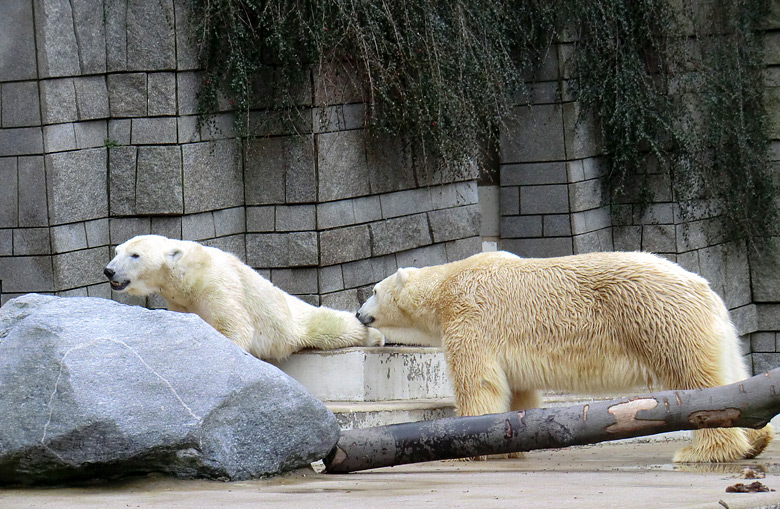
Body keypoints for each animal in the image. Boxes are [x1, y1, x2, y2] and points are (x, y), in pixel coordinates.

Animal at [103, 235, 384, 362]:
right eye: (117, 251)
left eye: (135, 255)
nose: (109, 271)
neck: (188, 274)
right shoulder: (179, 301)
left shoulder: (216, 285)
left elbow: (234, 325)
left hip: (295, 320)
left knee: (332, 325)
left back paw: (376, 335)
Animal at [358, 250, 772, 464]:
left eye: (374, 290)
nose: (360, 313)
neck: (447, 285)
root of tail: (706, 289)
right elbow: (518, 390)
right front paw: (509, 444)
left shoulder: (471, 317)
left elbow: (478, 382)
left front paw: (463, 449)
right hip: (708, 331)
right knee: (728, 376)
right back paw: (757, 440)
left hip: (659, 320)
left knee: (696, 382)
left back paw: (701, 451)